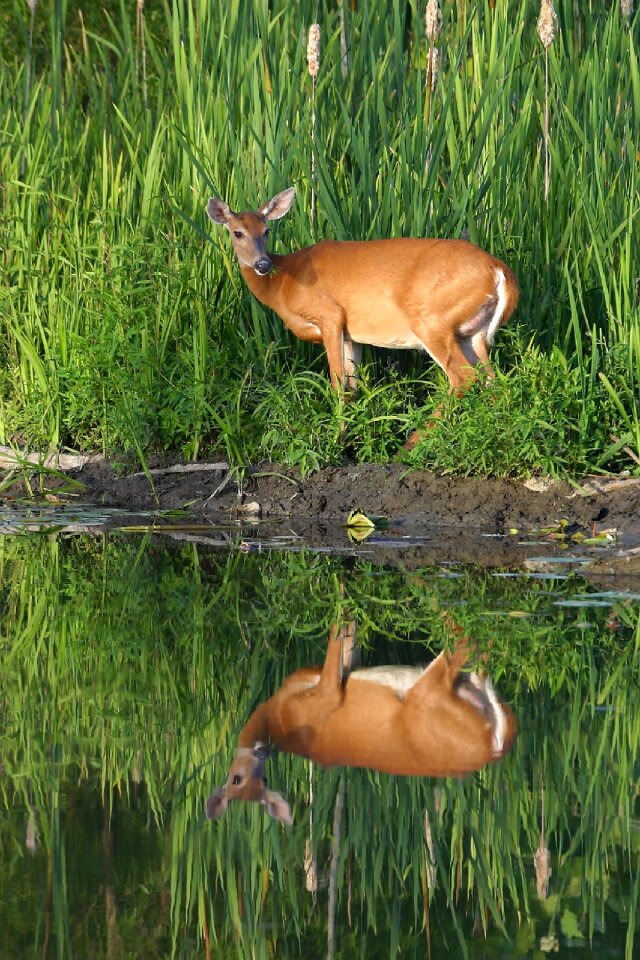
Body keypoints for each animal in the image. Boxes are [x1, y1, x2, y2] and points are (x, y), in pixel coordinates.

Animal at [205, 620, 516, 820]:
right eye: (236, 779)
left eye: (258, 778)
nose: (262, 751)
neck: (279, 718)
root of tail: (493, 748)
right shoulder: (326, 693)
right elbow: (341, 643)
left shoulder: (324, 692)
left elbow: (340, 639)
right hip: (437, 696)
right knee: (471, 643)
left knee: (470, 640)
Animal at [208, 186, 516, 444]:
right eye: (237, 232)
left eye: (267, 230)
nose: (262, 264)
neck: (283, 284)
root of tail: (498, 270)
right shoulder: (351, 334)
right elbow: (352, 385)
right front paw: (351, 435)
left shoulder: (329, 315)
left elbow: (337, 383)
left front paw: (336, 439)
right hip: (473, 333)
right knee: (492, 380)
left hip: (431, 321)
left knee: (464, 378)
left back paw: (411, 444)